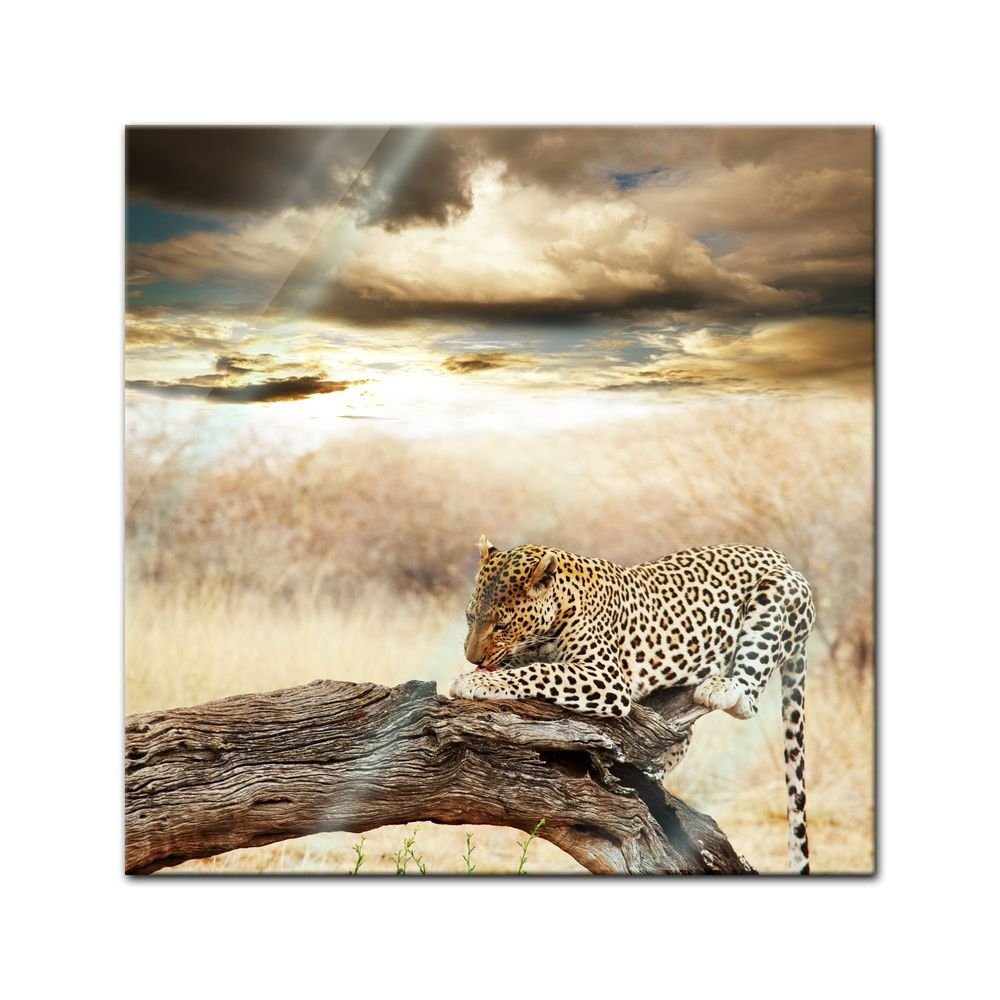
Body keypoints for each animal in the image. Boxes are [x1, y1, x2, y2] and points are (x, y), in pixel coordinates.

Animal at [449, 536, 815, 873]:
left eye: (502, 625)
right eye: (469, 617)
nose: (472, 657)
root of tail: (782, 558)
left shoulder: (606, 677)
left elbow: (541, 672)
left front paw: (475, 682)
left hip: (773, 598)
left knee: (748, 698)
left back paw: (720, 687)